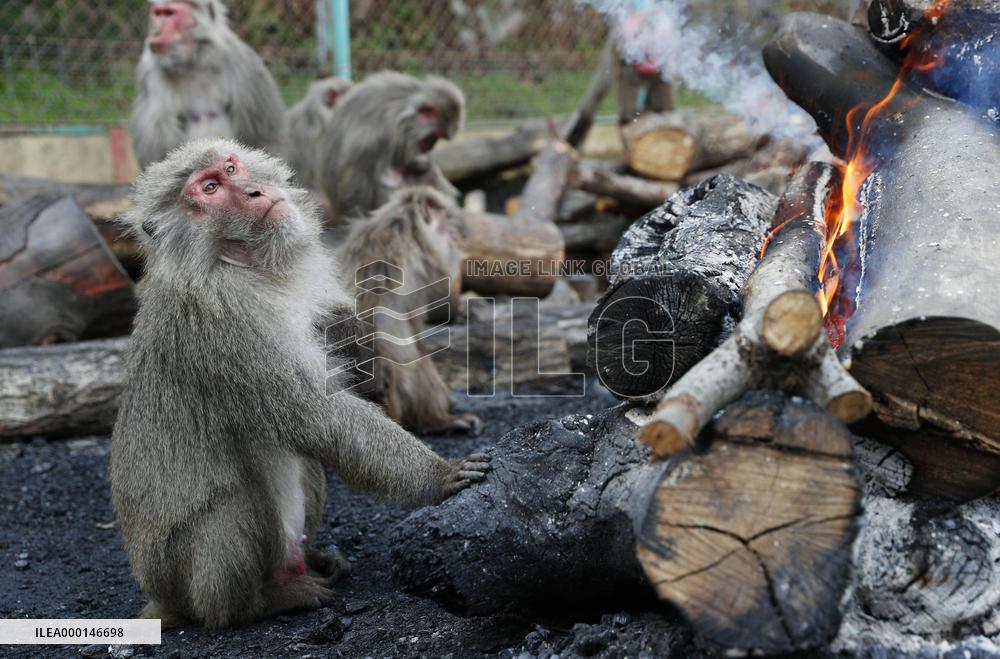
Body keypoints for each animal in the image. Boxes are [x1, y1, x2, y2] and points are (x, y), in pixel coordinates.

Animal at [130, 0, 288, 169]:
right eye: (158, 14)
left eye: (169, 13)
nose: (157, 31)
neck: (193, 62)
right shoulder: (151, 74)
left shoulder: (242, 63)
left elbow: (265, 137)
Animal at [336, 187, 482, 435]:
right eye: (443, 215)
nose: (458, 233)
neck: (414, 233)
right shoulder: (392, 249)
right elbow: (362, 307)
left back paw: (435, 419)